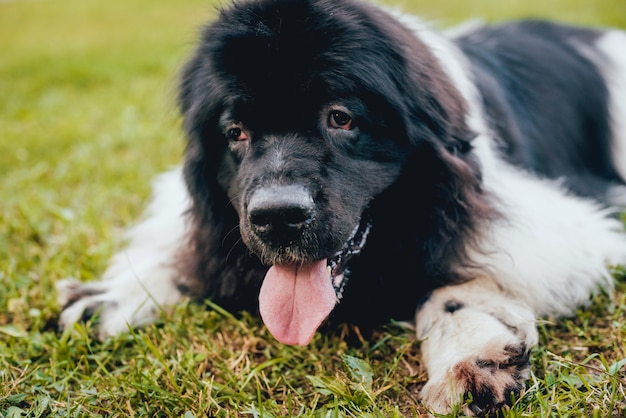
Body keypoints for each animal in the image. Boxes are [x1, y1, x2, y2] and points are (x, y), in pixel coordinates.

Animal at [56, 0, 624, 414]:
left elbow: (455, 273)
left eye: (340, 118)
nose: (277, 216)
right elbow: (189, 254)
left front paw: (471, 355)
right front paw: (109, 295)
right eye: (235, 132)